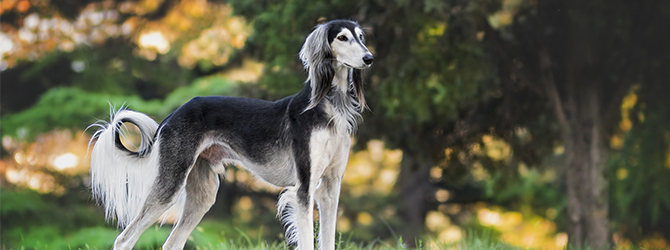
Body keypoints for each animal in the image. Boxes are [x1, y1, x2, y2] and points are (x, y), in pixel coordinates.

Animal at [87, 20, 376, 250]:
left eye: (361, 36)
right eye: (342, 38)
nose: (369, 58)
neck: (329, 106)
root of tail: (172, 115)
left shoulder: (330, 187)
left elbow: (328, 239)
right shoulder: (304, 189)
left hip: (202, 195)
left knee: (172, 243)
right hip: (170, 183)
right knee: (124, 239)